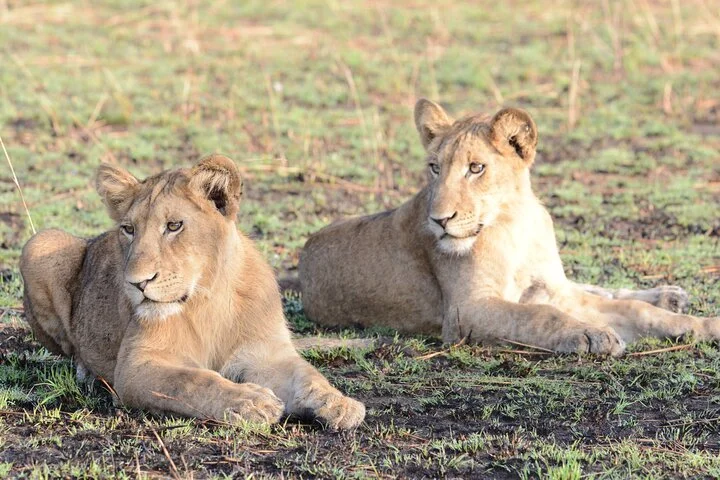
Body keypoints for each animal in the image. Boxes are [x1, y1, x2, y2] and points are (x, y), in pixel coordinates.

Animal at [20, 154, 364, 429]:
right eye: (128, 229)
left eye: (174, 226)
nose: (136, 283)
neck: (207, 297)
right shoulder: (134, 367)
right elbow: (193, 381)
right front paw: (251, 402)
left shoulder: (266, 353)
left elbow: (308, 375)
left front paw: (339, 404)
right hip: (39, 243)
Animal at [299, 99, 720, 355]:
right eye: (434, 168)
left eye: (476, 168)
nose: (439, 220)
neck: (514, 224)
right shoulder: (465, 311)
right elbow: (538, 315)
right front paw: (592, 334)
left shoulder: (553, 290)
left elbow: (636, 311)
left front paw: (703, 325)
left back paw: (669, 295)